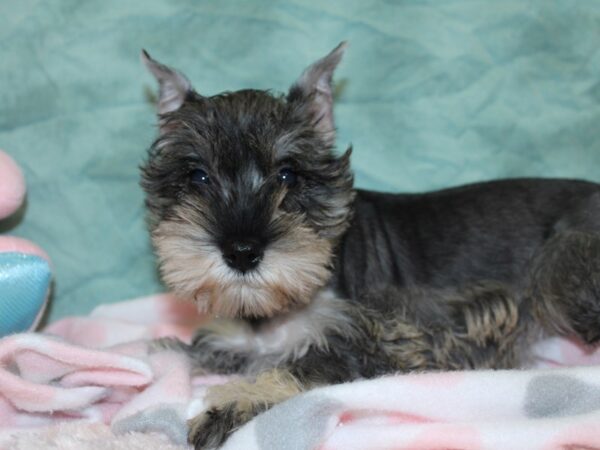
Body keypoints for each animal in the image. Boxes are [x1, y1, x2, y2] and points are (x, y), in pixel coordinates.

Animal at [139, 43, 600, 450]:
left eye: (288, 174)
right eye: (197, 176)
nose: (241, 252)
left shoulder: (379, 338)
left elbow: (303, 366)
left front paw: (234, 402)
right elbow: (204, 349)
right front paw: (158, 353)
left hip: (560, 258)